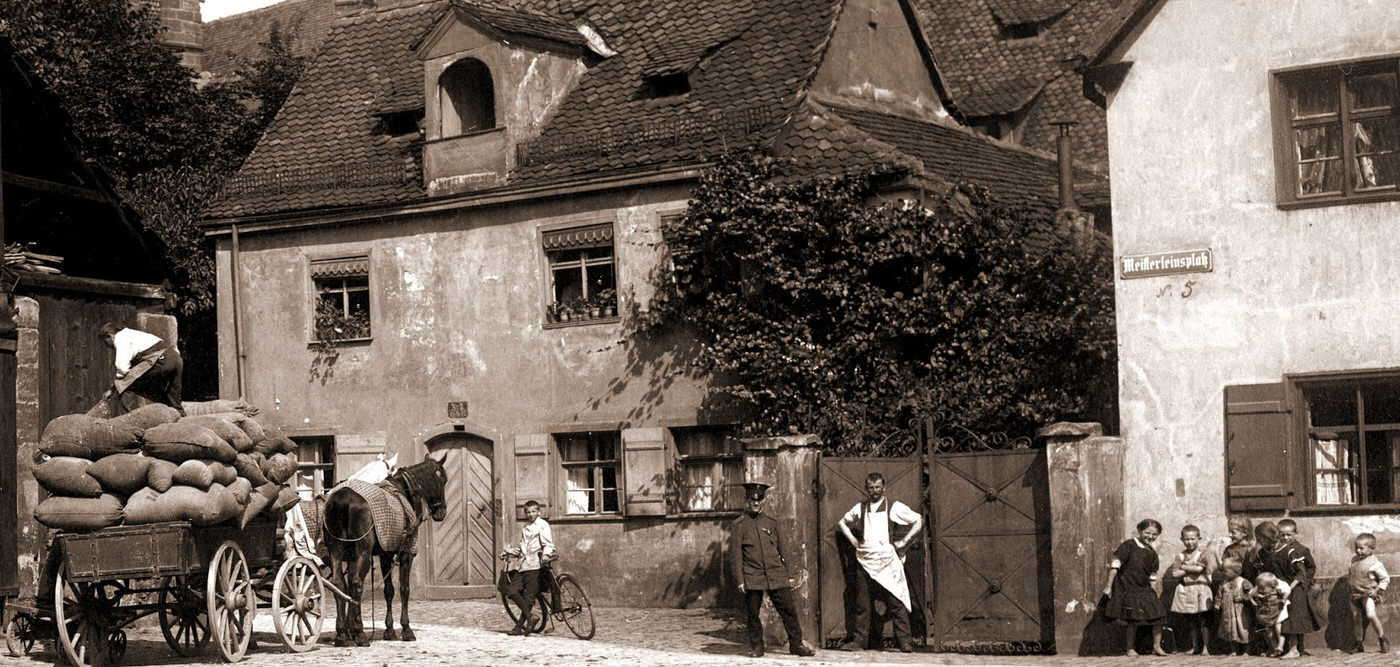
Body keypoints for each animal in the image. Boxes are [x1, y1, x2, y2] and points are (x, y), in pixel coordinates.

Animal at [320, 454, 445, 647]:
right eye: (443, 480)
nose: (442, 512)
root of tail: (342, 501)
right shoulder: (406, 553)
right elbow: (404, 589)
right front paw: (406, 629)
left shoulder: (385, 554)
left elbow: (388, 590)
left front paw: (389, 630)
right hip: (363, 552)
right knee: (357, 583)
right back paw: (360, 634)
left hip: (336, 550)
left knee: (339, 584)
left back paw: (342, 635)